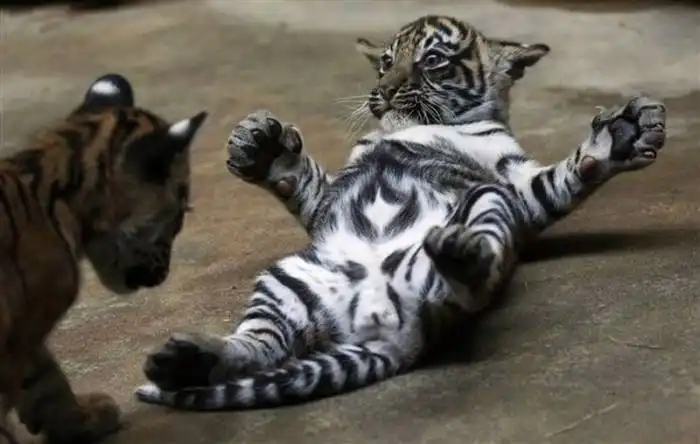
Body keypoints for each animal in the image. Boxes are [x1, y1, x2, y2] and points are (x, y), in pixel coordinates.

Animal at [135, 15, 667, 411]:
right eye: (386, 62)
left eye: (432, 60)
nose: (386, 91)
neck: (408, 126)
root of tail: (391, 329)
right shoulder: (326, 201)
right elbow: (301, 179)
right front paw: (258, 144)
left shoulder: (513, 187)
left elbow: (562, 179)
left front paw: (623, 135)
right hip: (289, 277)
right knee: (259, 345)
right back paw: (187, 360)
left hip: (483, 204)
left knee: (477, 276)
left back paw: (459, 253)